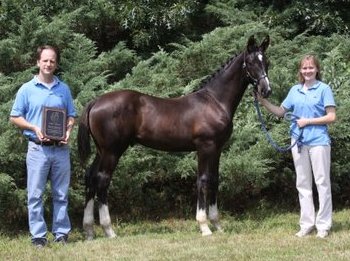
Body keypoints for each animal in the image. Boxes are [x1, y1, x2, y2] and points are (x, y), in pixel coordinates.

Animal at [78, 34, 272, 238]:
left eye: (266, 61)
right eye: (251, 62)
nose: (266, 90)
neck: (215, 101)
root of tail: (95, 101)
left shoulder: (217, 149)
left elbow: (214, 180)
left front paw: (217, 225)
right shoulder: (205, 147)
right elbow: (203, 180)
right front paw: (204, 226)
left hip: (101, 151)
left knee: (90, 177)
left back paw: (89, 230)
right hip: (112, 151)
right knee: (102, 181)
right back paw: (109, 230)